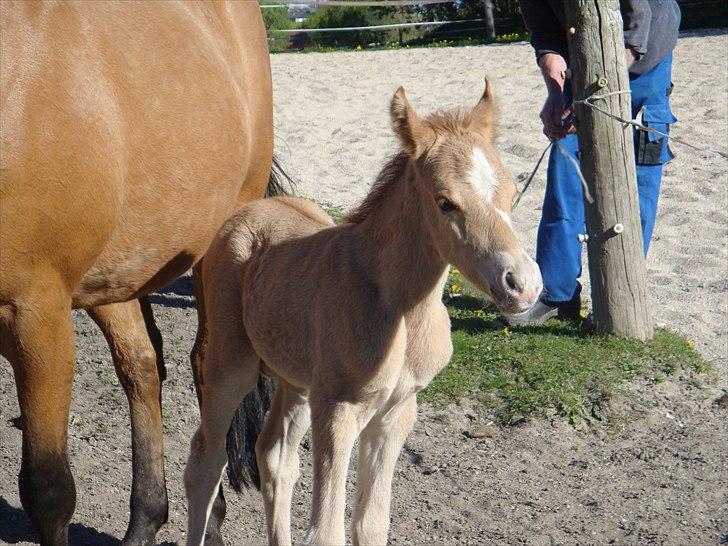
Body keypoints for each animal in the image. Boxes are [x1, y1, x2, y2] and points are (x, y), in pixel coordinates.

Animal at [1, 2, 274, 540]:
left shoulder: (34, 312)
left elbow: (48, 491)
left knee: (206, 365)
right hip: (119, 267)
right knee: (142, 364)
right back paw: (147, 520)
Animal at [185, 78, 544, 540]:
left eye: (513, 194)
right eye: (445, 202)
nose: (524, 285)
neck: (400, 309)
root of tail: (246, 210)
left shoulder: (396, 412)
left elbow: (371, 524)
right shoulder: (338, 411)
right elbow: (327, 532)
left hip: (297, 381)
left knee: (274, 458)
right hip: (231, 366)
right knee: (205, 463)